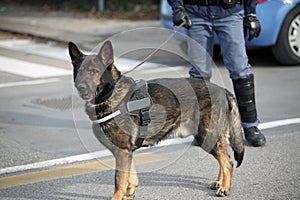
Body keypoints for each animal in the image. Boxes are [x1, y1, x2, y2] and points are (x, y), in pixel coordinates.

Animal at [69, 40, 245, 198]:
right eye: (80, 72)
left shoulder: (122, 152)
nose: (81, 87)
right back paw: (219, 183)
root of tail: (223, 90)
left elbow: (119, 183)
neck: (111, 93)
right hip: (211, 137)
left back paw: (225, 188)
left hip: (206, 136)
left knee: (227, 162)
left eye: (94, 72)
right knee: (225, 157)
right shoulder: (126, 153)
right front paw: (130, 193)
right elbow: (131, 177)